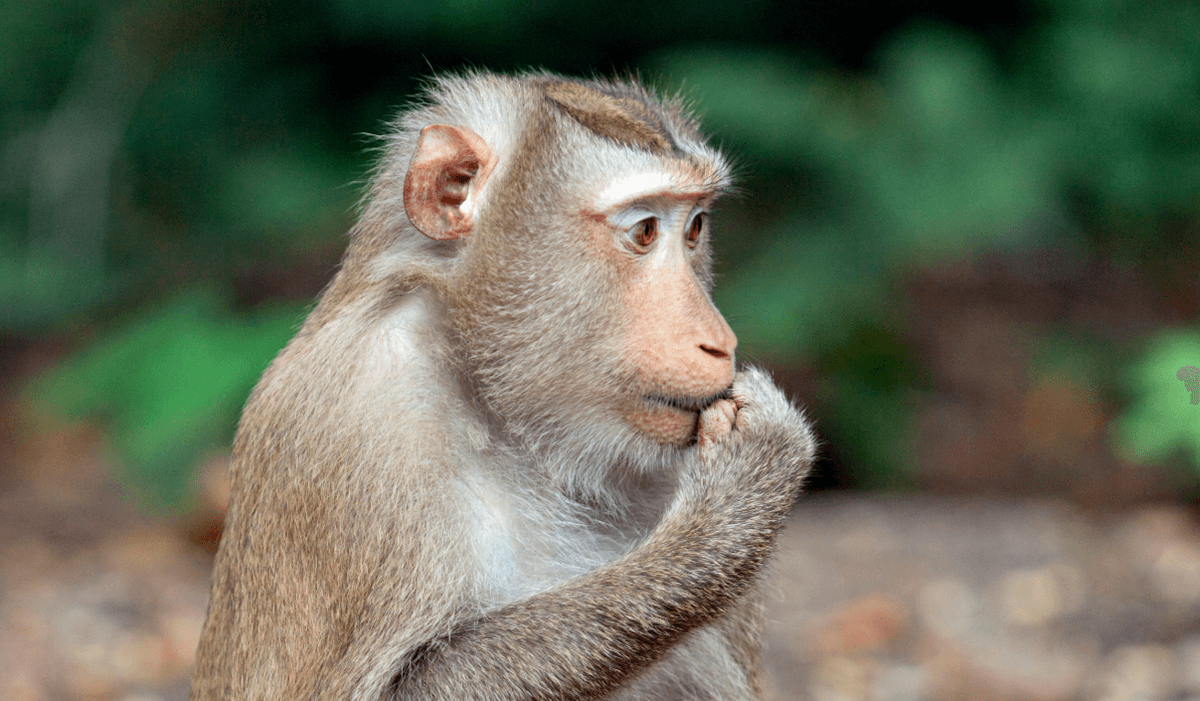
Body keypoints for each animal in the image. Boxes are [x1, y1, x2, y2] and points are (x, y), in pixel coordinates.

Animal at [190, 71, 815, 701]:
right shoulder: (360, 420)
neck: (499, 411)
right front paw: (735, 506)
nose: (720, 342)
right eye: (643, 231)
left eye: (694, 227)